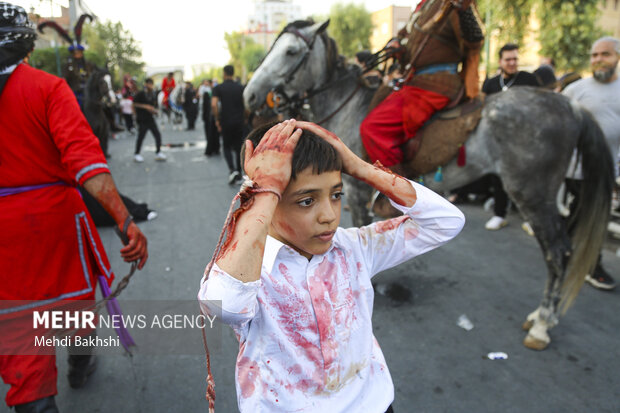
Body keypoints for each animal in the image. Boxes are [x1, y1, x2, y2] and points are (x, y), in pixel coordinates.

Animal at [243, 19, 616, 348]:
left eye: (291, 51)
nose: (250, 96)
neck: (349, 105)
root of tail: (570, 104)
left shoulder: (358, 192)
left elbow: (358, 228)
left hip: (533, 194)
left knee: (557, 251)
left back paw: (542, 323)